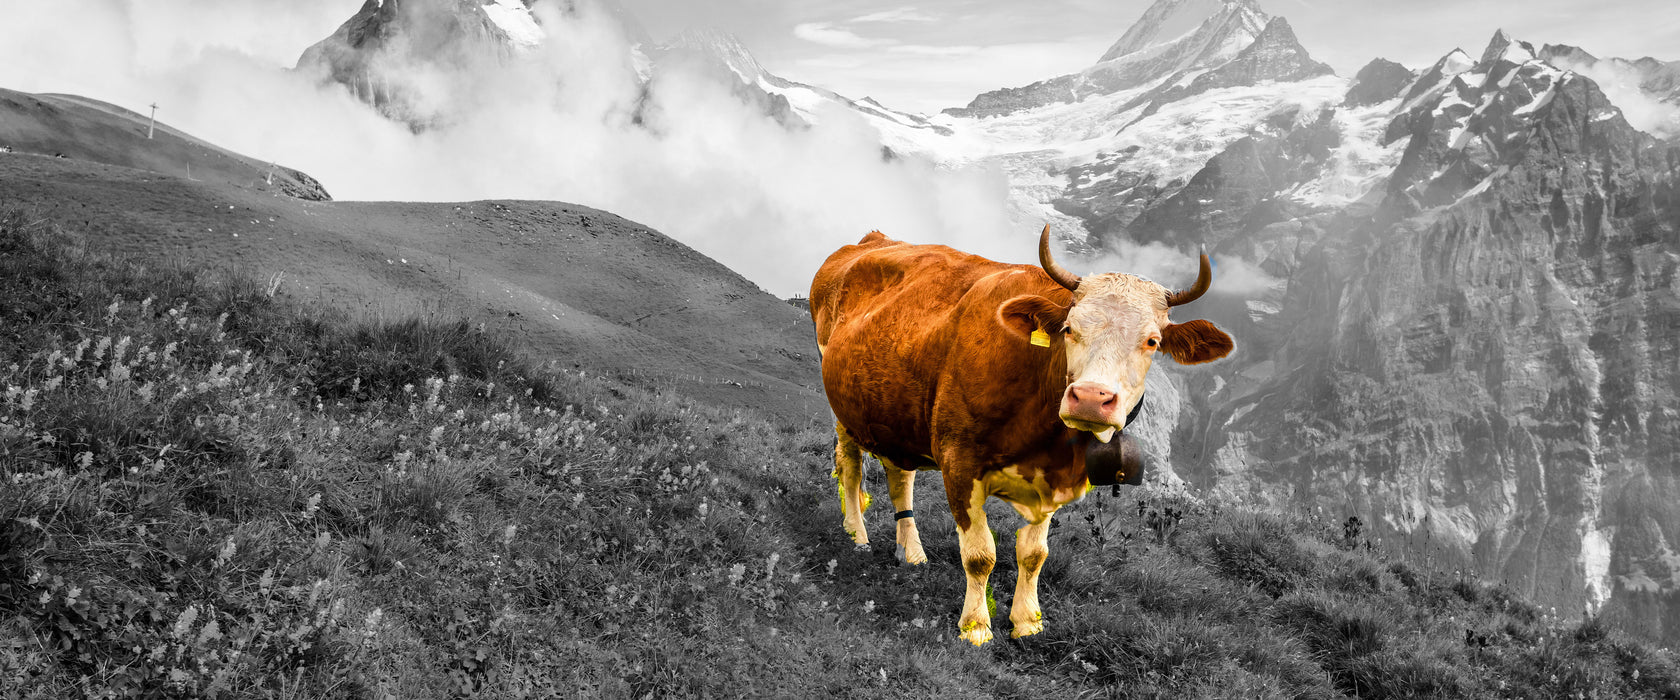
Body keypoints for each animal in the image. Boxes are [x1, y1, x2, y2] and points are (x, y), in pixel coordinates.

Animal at [809, 223, 1236, 644]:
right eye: (1069, 328)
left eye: (1152, 341)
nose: (1090, 398)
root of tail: (874, 239)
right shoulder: (959, 462)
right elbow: (980, 555)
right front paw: (975, 626)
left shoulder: (1053, 479)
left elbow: (1034, 554)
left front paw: (1027, 621)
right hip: (842, 407)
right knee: (850, 467)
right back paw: (857, 535)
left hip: (895, 411)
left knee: (901, 477)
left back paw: (911, 552)